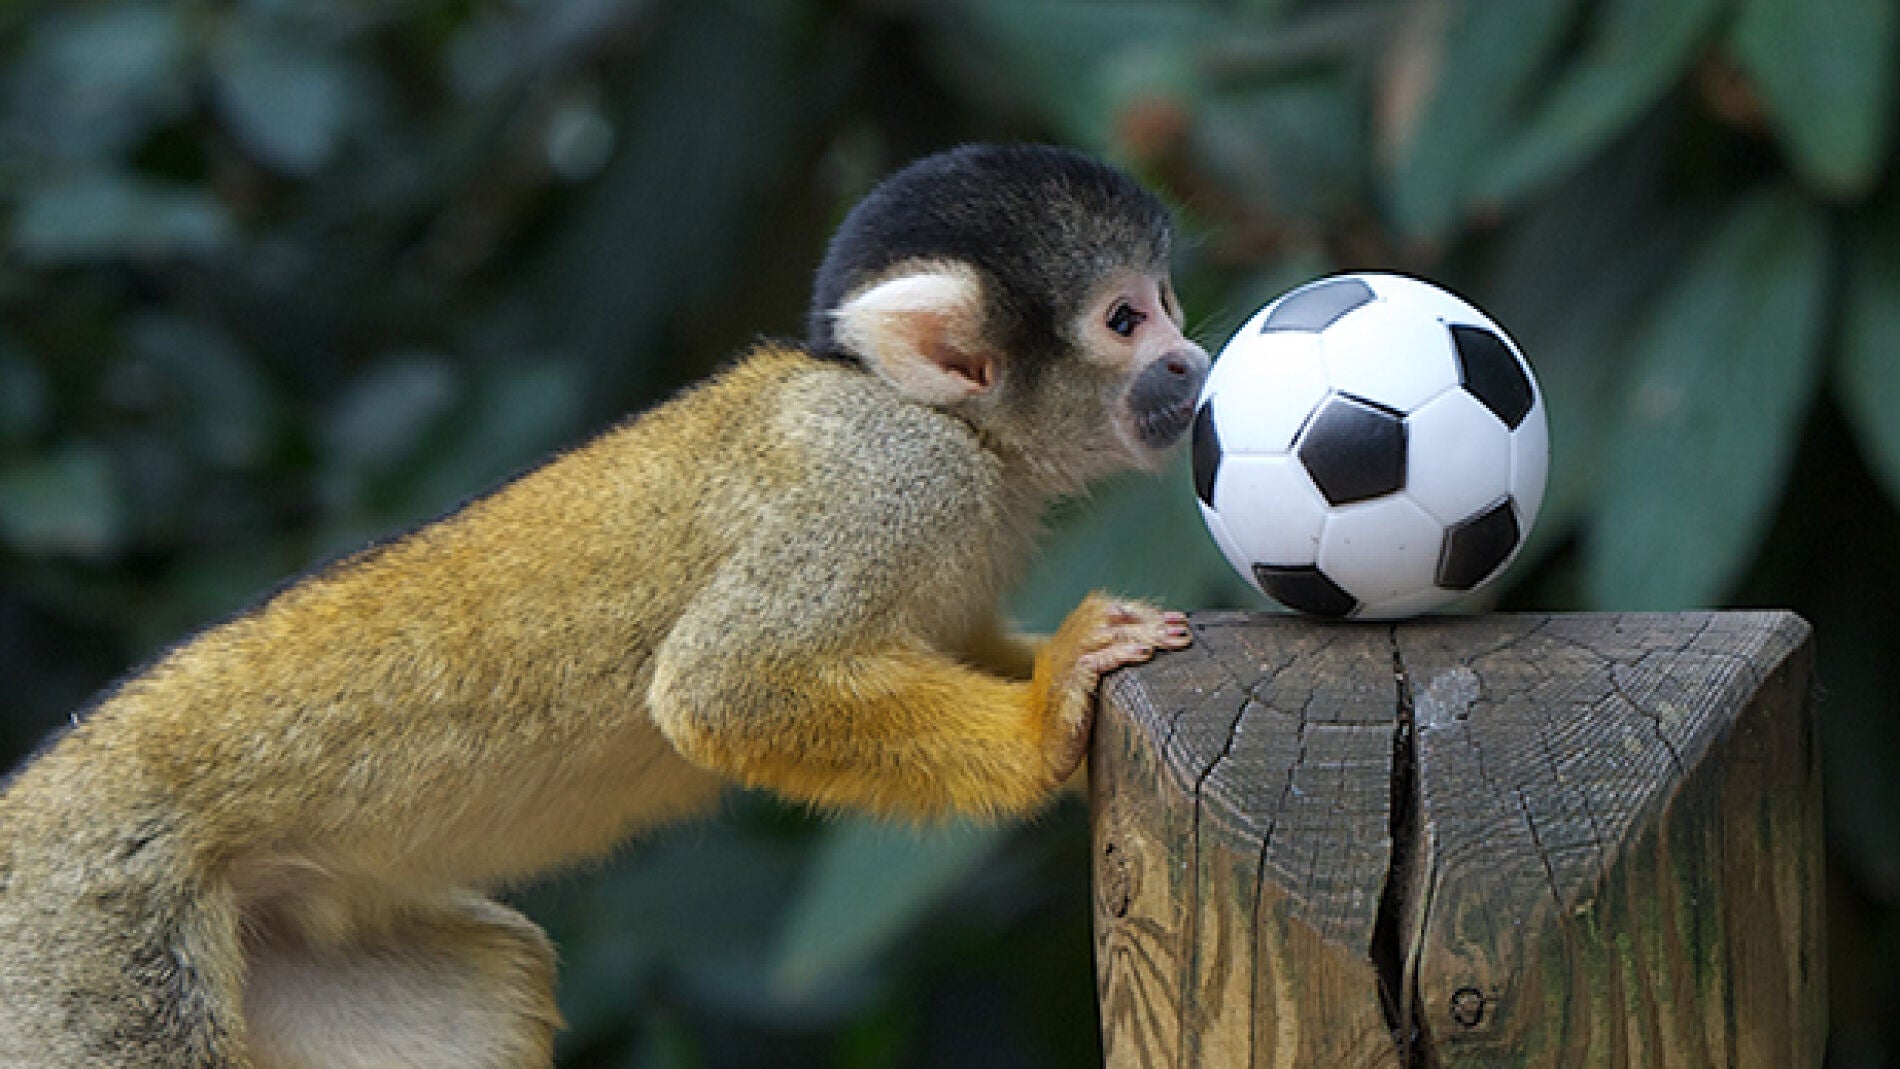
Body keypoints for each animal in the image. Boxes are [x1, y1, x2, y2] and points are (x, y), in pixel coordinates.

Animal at [0, 143, 1209, 1068]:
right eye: (1124, 320)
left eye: (1166, 304)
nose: (1192, 360)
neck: (937, 420)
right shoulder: (887, 477)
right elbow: (726, 687)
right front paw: (1051, 713)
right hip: (87, 936)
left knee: (497, 974)